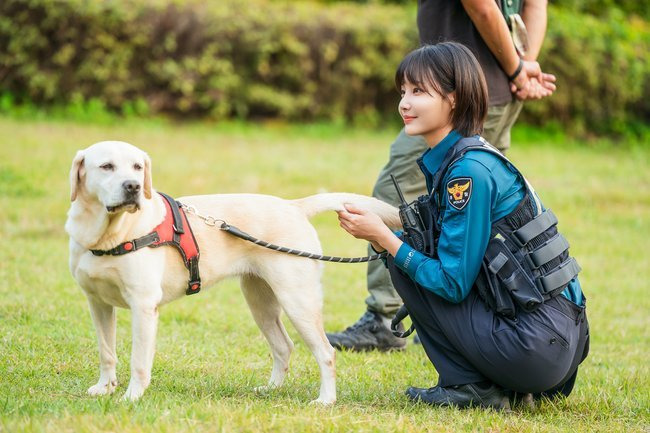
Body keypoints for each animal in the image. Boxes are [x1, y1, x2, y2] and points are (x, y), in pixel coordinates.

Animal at [67, 140, 400, 404]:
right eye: (106, 166)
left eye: (137, 167)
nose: (134, 187)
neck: (108, 237)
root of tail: (293, 206)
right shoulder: (97, 303)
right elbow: (106, 351)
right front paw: (104, 388)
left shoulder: (143, 305)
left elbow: (138, 360)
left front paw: (132, 397)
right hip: (260, 301)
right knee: (284, 346)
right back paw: (271, 390)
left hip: (298, 301)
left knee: (326, 352)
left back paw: (326, 400)